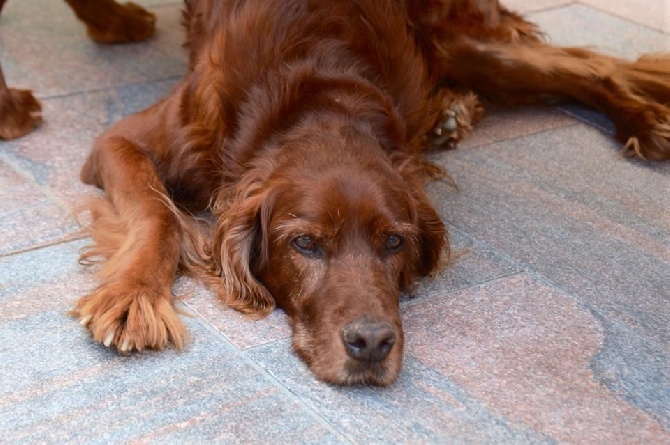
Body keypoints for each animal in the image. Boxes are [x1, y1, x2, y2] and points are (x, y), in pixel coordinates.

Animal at [71, 0, 668, 386]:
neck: (318, 93)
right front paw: (134, 296)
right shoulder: (121, 140)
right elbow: (157, 213)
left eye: (394, 242)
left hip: (452, 37)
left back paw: (642, 115)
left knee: (584, 64)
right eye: (305, 244)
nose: (372, 344)